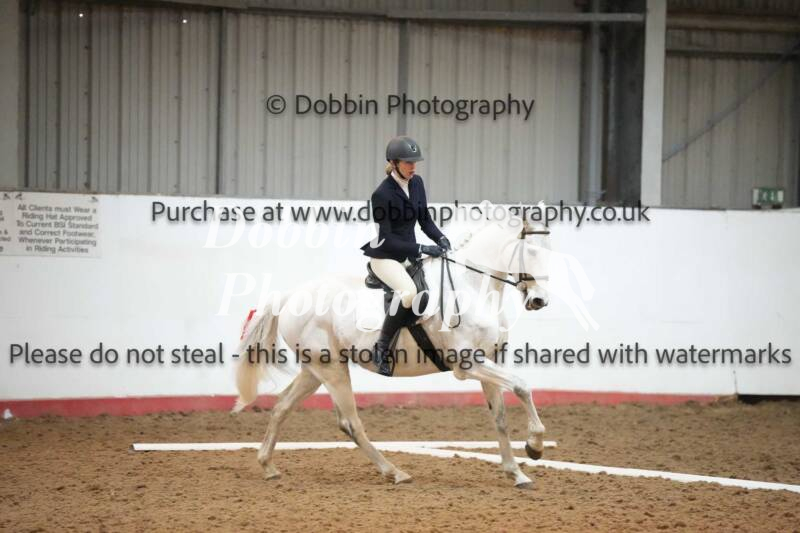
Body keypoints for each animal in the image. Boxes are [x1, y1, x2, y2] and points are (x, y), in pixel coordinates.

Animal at [232, 207, 552, 488]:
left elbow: (499, 417)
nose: (539, 301)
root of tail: (289, 297)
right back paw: (395, 472)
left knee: (282, 407)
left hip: (315, 370)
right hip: (331, 369)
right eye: (532, 252)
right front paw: (535, 445)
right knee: (350, 422)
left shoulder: (488, 359)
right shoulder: (468, 364)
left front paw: (516, 473)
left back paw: (268, 466)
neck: (473, 287)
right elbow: (522, 386)